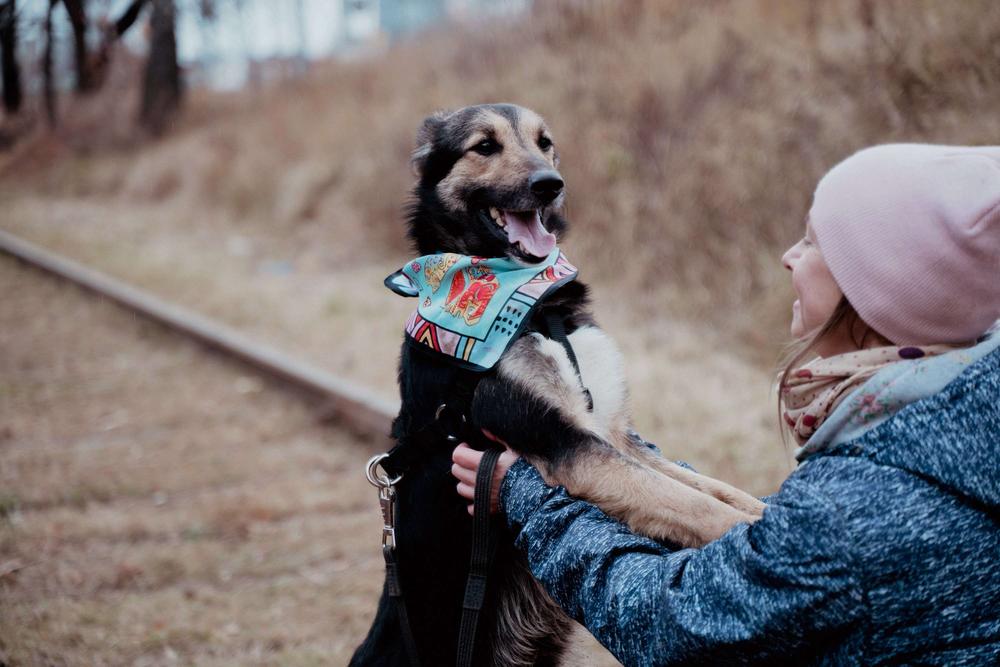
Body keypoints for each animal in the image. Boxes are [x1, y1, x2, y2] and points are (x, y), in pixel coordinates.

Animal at [348, 104, 760, 667]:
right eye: (484, 146)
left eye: (545, 143)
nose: (550, 184)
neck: (538, 310)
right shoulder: (568, 444)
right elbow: (694, 503)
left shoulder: (612, 433)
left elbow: (708, 488)